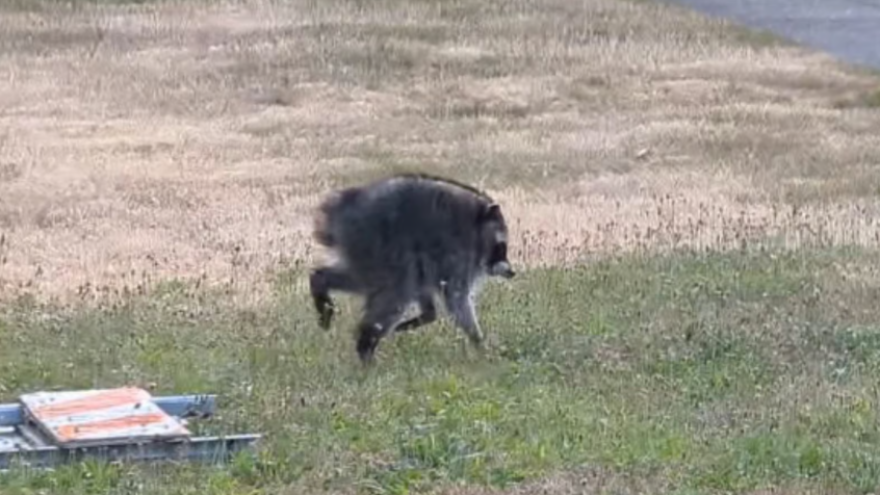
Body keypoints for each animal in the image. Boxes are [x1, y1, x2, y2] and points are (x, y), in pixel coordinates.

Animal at [309, 172, 515, 363]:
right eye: (501, 247)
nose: (511, 272)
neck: (477, 223)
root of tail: (344, 206)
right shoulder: (457, 254)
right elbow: (456, 298)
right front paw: (478, 341)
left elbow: (426, 288)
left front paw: (427, 314)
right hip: (375, 239)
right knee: (397, 285)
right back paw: (367, 339)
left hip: (365, 245)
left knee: (382, 281)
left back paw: (320, 281)